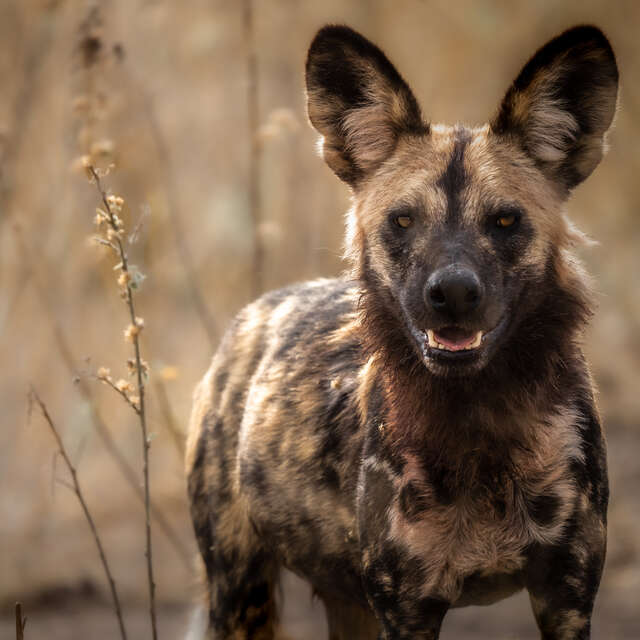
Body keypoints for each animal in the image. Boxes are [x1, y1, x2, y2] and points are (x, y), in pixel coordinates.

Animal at [188, 25, 616, 640]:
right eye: (403, 220)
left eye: (505, 220)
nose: (454, 293)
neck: (479, 425)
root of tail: (256, 311)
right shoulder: (407, 608)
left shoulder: (568, 596)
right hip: (240, 593)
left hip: (347, 604)